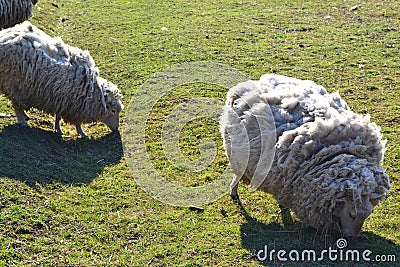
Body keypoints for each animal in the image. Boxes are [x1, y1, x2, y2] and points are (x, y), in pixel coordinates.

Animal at [219, 74, 390, 240]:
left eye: (367, 215)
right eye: (351, 214)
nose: (352, 238)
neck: (339, 153)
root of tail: (245, 85)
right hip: (238, 152)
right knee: (237, 174)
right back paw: (233, 191)